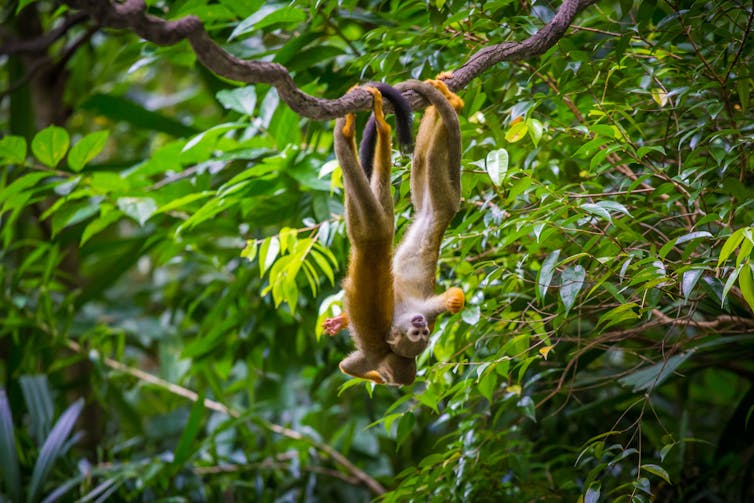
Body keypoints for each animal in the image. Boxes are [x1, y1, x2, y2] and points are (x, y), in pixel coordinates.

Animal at [324, 79, 464, 386]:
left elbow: (348, 365)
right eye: (417, 333)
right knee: (427, 161)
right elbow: (453, 300)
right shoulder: (424, 311)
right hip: (436, 202)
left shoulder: (419, 318)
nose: (421, 325)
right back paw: (446, 101)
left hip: (384, 223)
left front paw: (375, 375)